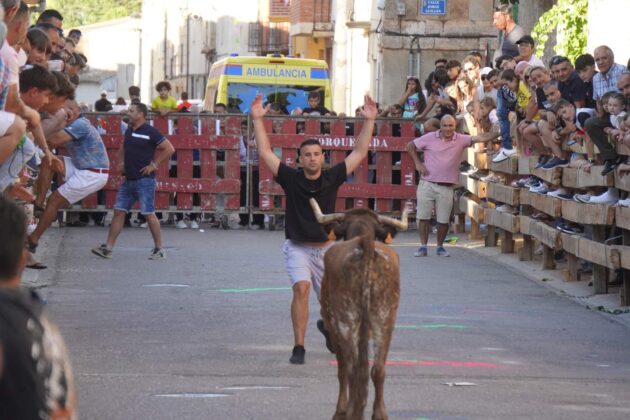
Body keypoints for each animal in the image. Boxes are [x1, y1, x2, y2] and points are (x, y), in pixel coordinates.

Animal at [312, 199, 410, 420]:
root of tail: (365, 245)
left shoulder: (334, 327)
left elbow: (341, 369)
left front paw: (339, 410)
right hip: (385, 319)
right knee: (378, 369)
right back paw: (379, 413)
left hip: (346, 321)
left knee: (352, 369)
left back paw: (349, 411)